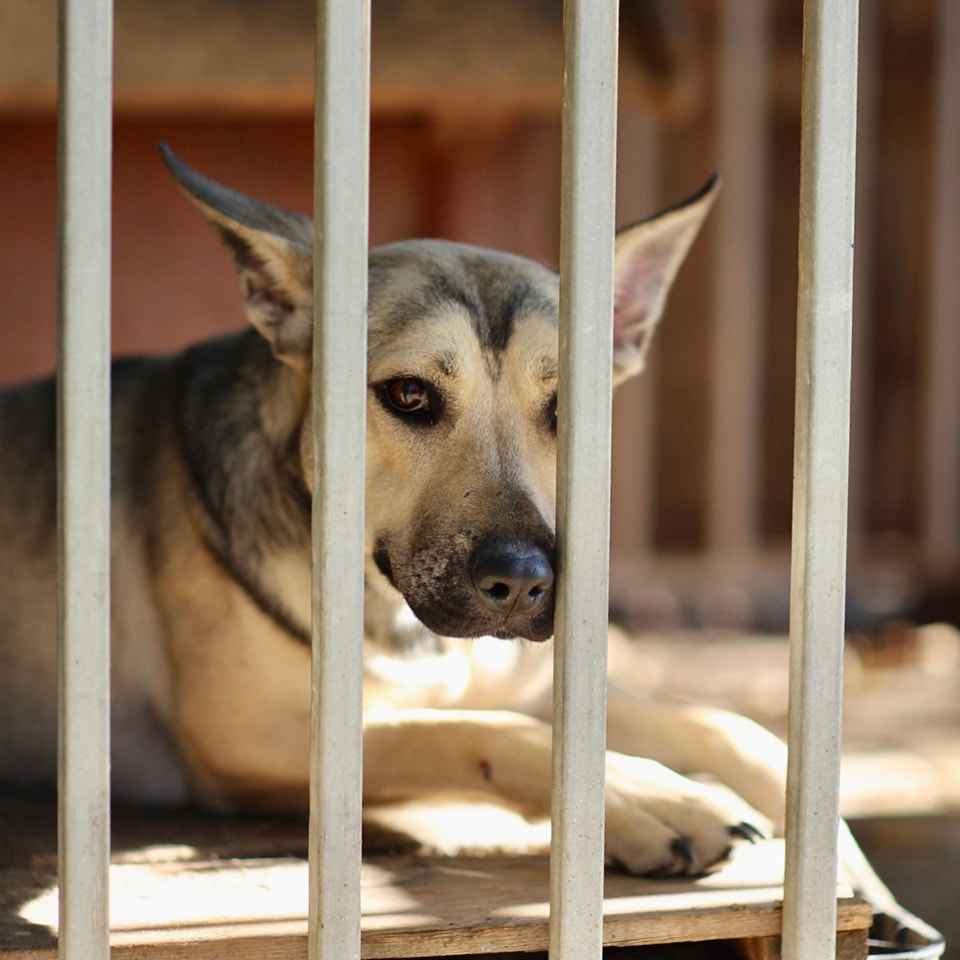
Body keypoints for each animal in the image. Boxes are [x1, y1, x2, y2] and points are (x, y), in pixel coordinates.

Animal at [0, 146, 808, 880]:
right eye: (410, 394)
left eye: (565, 409)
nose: (522, 582)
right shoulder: (256, 735)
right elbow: (481, 733)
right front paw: (645, 798)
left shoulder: (534, 682)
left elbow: (720, 720)